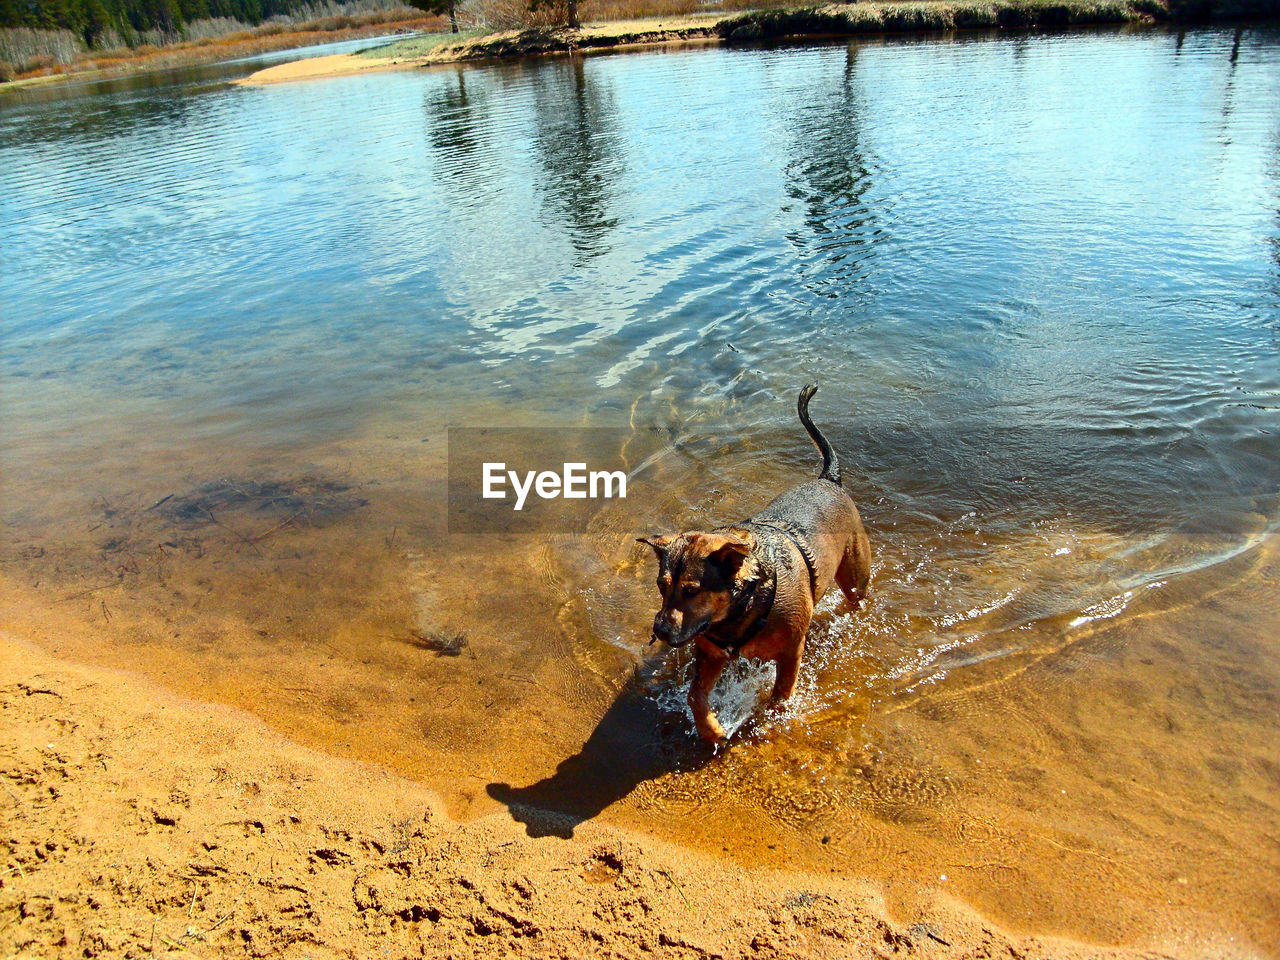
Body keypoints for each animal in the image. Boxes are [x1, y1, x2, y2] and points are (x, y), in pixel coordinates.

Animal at [637, 386, 870, 747]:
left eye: (691, 591)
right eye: (661, 586)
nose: (659, 630)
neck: (741, 607)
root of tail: (829, 480)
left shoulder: (790, 652)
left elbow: (780, 693)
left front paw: (766, 719)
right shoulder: (710, 652)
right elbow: (695, 696)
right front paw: (712, 730)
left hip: (856, 572)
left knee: (856, 597)